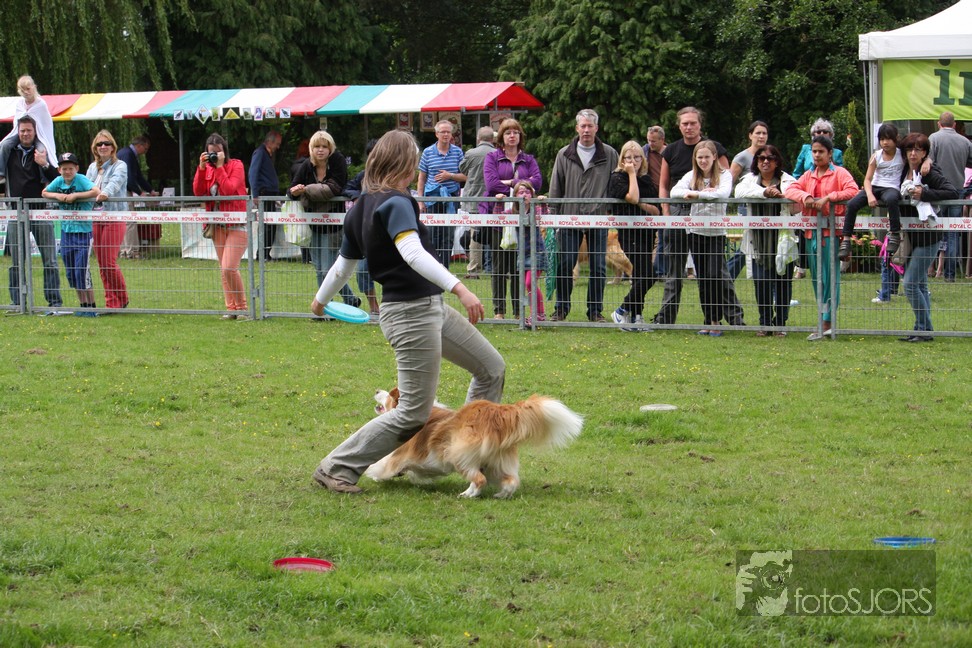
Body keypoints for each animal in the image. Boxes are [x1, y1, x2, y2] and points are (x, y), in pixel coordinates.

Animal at [365, 388, 583, 498]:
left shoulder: (398, 454)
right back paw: (501, 495)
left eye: (388, 394)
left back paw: (467, 494)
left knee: (479, 480)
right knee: (511, 481)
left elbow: (382, 463)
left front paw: (374, 474)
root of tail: (495, 412)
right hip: (496, 462)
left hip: (460, 455)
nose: (376, 390)